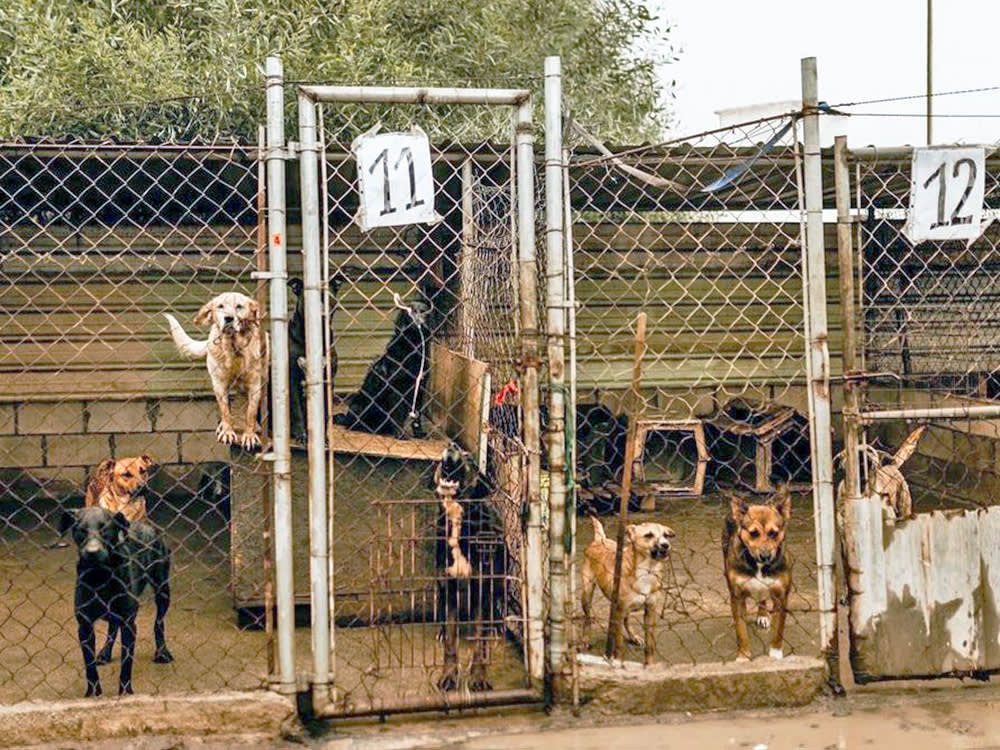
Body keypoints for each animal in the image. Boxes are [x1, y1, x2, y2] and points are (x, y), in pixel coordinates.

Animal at [59, 508, 172, 696]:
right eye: (81, 530)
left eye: (105, 529)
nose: (92, 552)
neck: (100, 576)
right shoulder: (84, 626)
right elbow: (89, 666)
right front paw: (93, 693)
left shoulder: (129, 624)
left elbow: (126, 664)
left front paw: (125, 693)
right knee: (112, 627)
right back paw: (105, 653)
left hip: (162, 589)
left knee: (159, 621)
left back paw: (162, 652)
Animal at [167, 290, 270, 450]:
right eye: (220, 306)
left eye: (239, 306)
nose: (228, 318)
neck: (234, 349)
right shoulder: (219, 384)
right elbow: (225, 410)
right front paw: (227, 431)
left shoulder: (255, 384)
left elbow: (251, 412)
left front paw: (249, 435)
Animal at [432, 444, 504, 696]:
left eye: (469, 458)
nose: (451, 445)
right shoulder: (449, 588)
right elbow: (451, 643)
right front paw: (448, 676)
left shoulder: (483, 592)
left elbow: (480, 645)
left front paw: (478, 679)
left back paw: (496, 628)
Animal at [724, 484, 792, 660]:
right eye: (753, 533)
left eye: (773, 533)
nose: (765, 556)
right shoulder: (737, 595)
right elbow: (741, 631)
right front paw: (743, 657)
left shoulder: (781, 596)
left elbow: (778, 630)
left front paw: (775, 654)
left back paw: (763, 615)